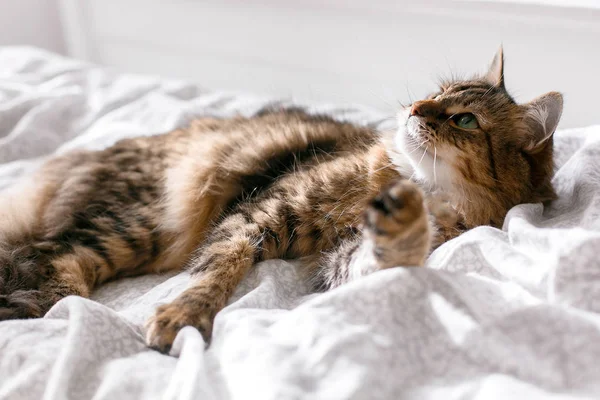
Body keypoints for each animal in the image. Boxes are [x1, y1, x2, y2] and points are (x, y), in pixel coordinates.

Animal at [0, 47, 564, 354]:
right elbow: (216, 272)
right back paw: (43, 304)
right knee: (50, 255)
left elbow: (385, 255)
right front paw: (183, 318)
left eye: (464, 120)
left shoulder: (340, 259)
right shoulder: (260, 213)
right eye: (438, 93)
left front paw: (406, 225)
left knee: (43, 256)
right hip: (141, 226)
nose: (413, 108)